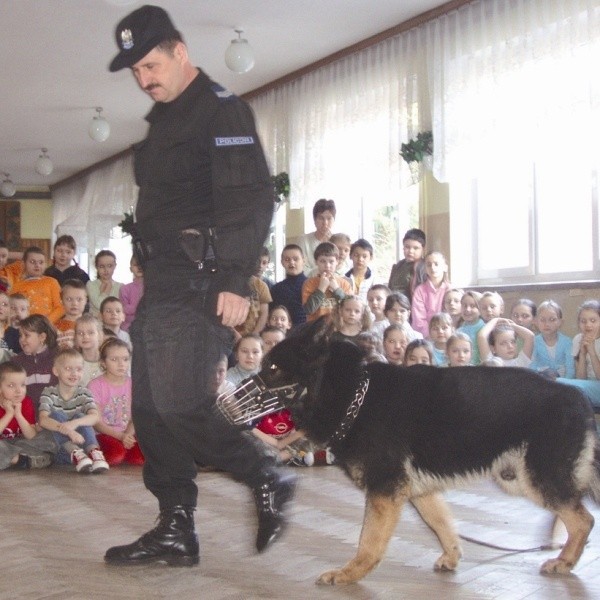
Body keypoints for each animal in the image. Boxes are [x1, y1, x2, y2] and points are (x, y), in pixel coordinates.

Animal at [244, 318, 600, 584]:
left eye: (272, 368)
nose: (236, 394)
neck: (355, 395)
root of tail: (577, 396)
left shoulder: (384, 492)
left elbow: (368, 541)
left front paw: (349, 574)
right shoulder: (418, 492)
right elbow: (441, 524)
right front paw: (452, 555)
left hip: (534, 480)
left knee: (583, 520)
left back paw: (564, 561)